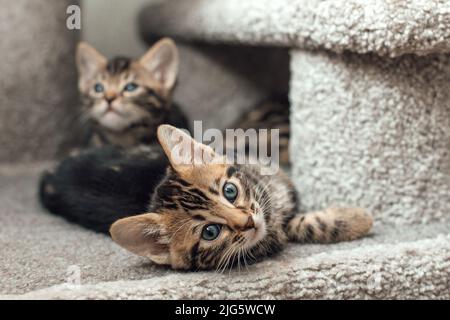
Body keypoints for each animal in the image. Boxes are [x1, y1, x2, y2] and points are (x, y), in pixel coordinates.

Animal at [40, 125, 372, 270]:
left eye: (230, 191)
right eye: (210, 232)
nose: (248, 221)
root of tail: (50, 177)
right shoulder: (275, 234)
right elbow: (303, 224)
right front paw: (358, 218)